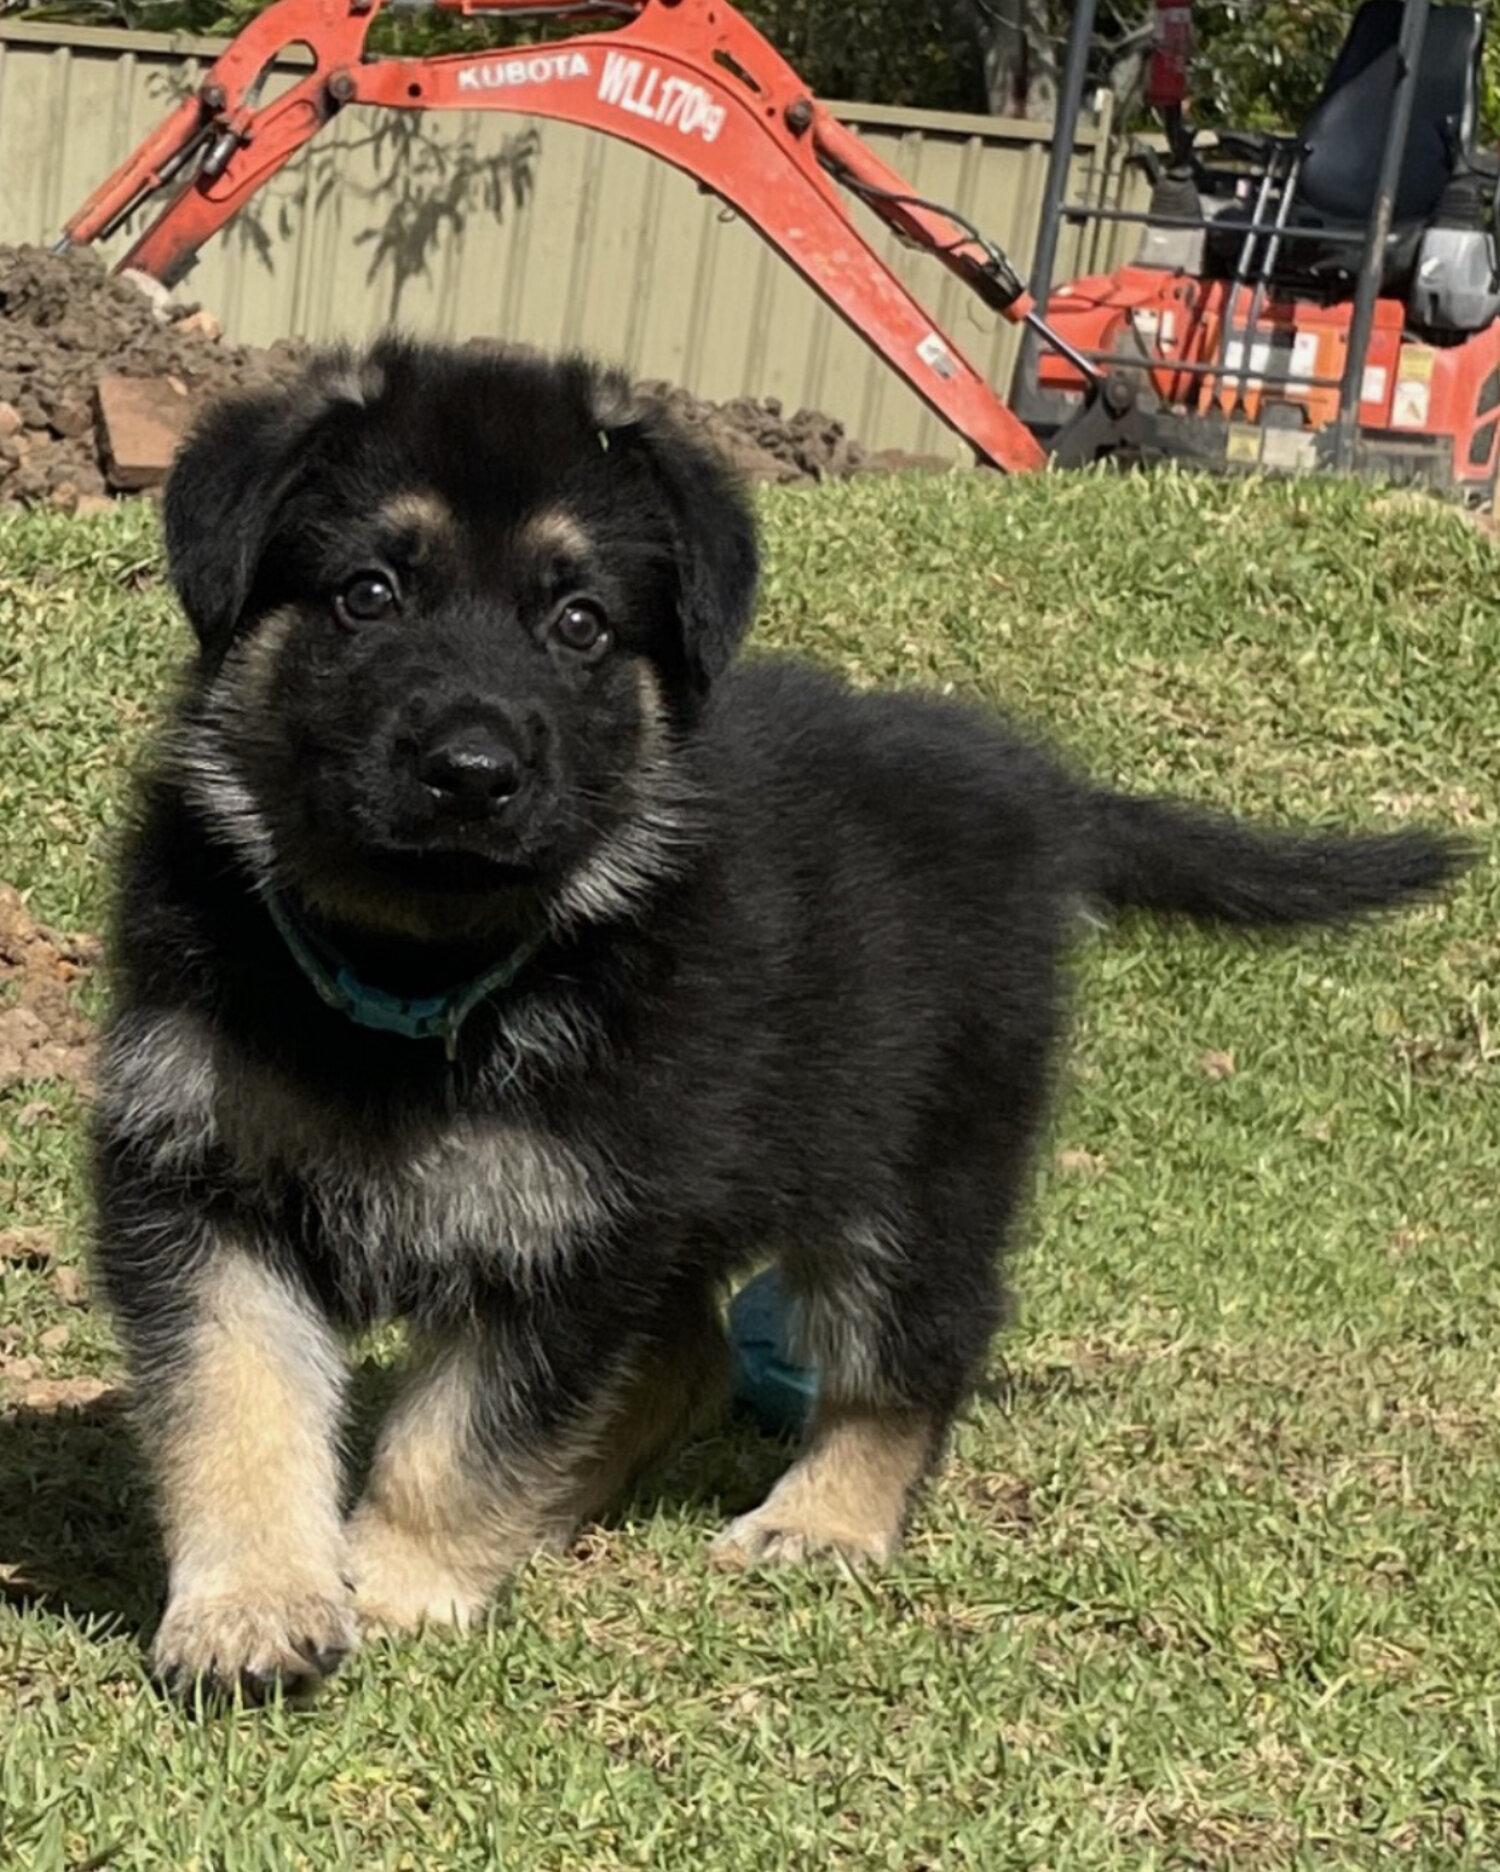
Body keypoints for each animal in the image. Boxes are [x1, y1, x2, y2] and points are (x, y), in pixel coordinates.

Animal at [90, 336, 1460, 1699]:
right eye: (368, 595)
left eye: (580, 625)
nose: (474, 776)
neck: (418, 971)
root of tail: (1039, 793)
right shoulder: (203, 1185)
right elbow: (237, 1403)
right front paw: (256, 1605)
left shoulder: (564, 1233)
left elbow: (462, 1438)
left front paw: (397, 1587)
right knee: (686, 1360)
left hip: (914, 1171)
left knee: (914, 1347)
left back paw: (825, 1518)